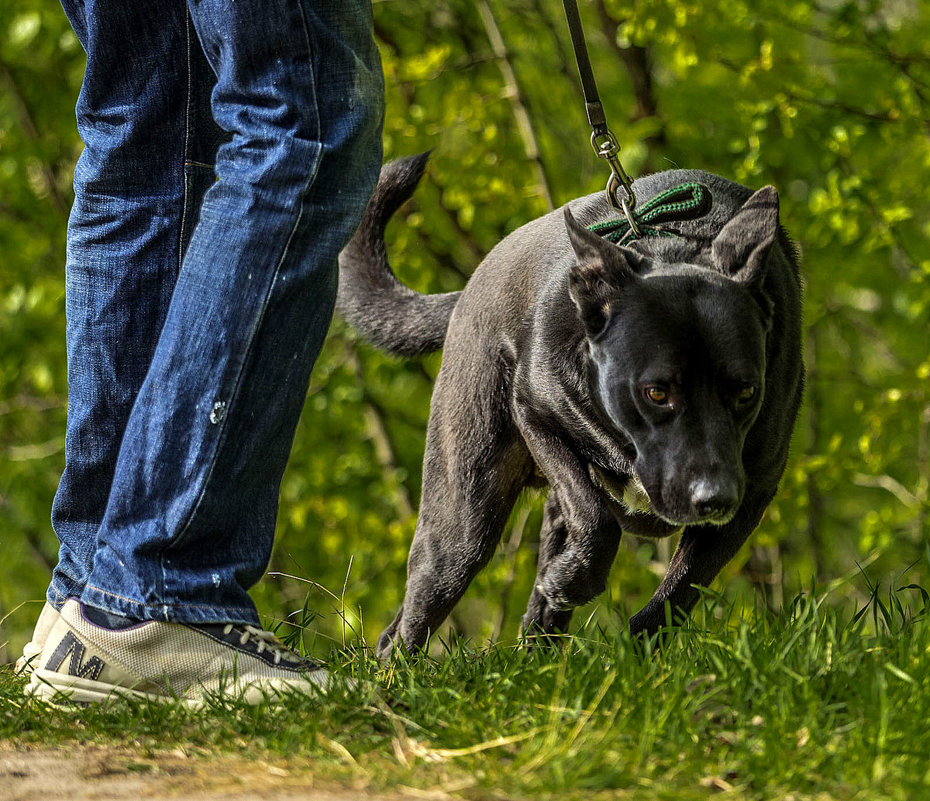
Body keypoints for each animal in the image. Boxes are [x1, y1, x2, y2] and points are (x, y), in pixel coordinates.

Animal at [338, 155, 800, 656]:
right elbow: (596, 516)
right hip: (464, 516)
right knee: (415, 611)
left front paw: (637, 649)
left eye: (745, 393)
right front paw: (573, 582)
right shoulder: (536, 413)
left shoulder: (751, 494)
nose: (713, 498)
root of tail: (468, 291)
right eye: (656, 393)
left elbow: (680, 590)